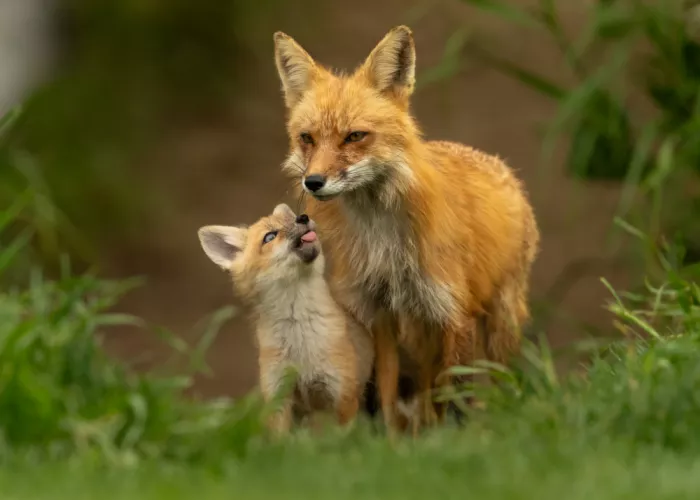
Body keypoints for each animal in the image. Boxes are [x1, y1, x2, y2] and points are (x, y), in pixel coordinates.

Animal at [197, 203, 374, 433]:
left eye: (292, 218)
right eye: (270, 236)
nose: (303, 218)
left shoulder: (342, 394)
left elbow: (344, 437)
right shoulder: (278, 394)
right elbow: (281, 439)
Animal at [272, 25, 540, 431]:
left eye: (355, 136)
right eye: (307, 138)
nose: (313, 182)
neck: (383, 240)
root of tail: (501, 165)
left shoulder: (453, 310)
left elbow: (458, 397)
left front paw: (461, 439)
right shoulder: (378, 313)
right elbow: (384, 400)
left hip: (498, 320)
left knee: (501, 380)